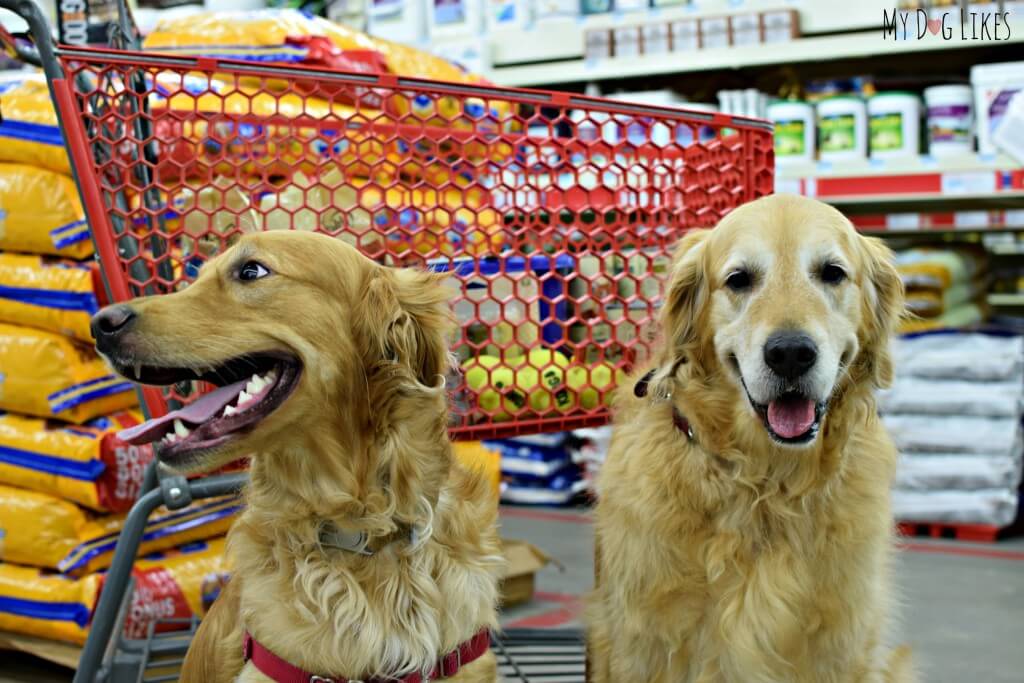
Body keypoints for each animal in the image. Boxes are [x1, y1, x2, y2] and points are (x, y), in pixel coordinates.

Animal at [589, 193, 917, 683]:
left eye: (832, 273)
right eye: (739, 279)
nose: (790, 353)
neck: (766, 482)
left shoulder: (843, 641)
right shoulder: (642, 641)